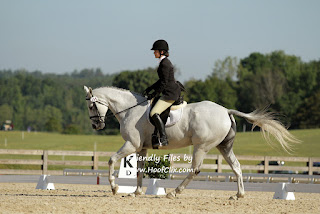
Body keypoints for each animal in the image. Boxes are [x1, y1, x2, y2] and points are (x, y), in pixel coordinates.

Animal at [84, 85, 298, 199]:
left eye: (91, 106)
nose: (96, 125)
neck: (130, 109)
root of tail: (226, 111)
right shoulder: (142, 148)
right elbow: (139, 170)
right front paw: (136, 192)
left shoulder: (131, 144)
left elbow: (111, 160)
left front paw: (114, 187)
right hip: (224, 147)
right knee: (237, 167)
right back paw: (238, 195)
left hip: (201, 147)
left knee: (195, 169)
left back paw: (174, 192)